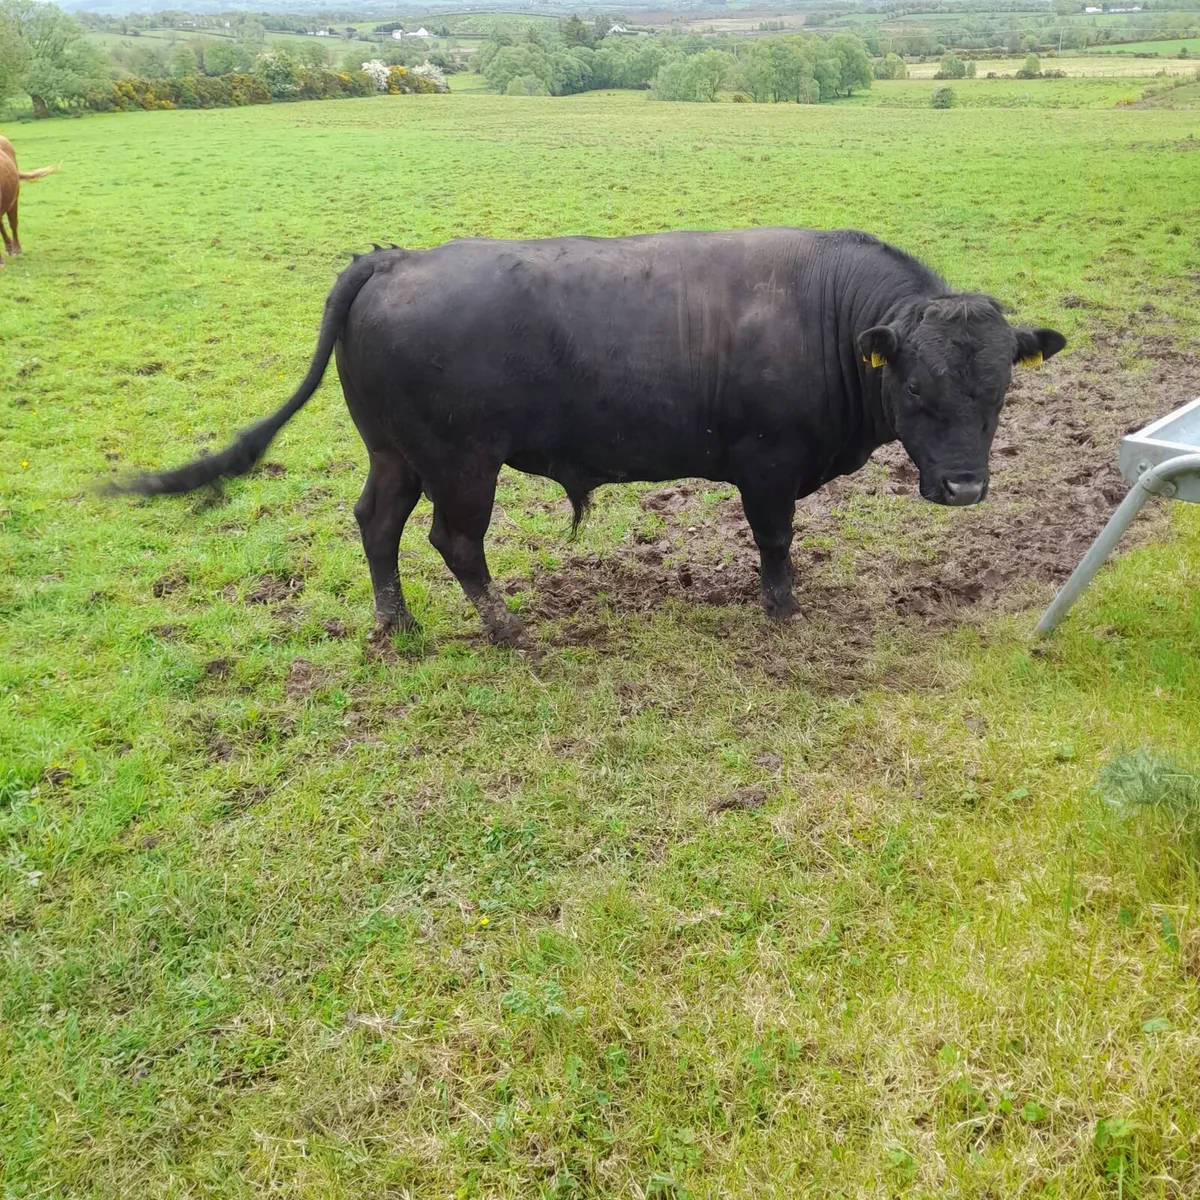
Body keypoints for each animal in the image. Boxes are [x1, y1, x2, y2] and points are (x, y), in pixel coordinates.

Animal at [111, 228, 1066, 647]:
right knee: (453, 541)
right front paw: (782, 609)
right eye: (916, 387)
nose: (965, 488)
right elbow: (775, 541)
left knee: (377, 524)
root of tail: (393, 258)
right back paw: (503, 628)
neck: (823, 315)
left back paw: (396, 621)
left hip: (395, 453)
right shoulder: (767, 467)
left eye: (1000, 388)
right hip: (461, 461)